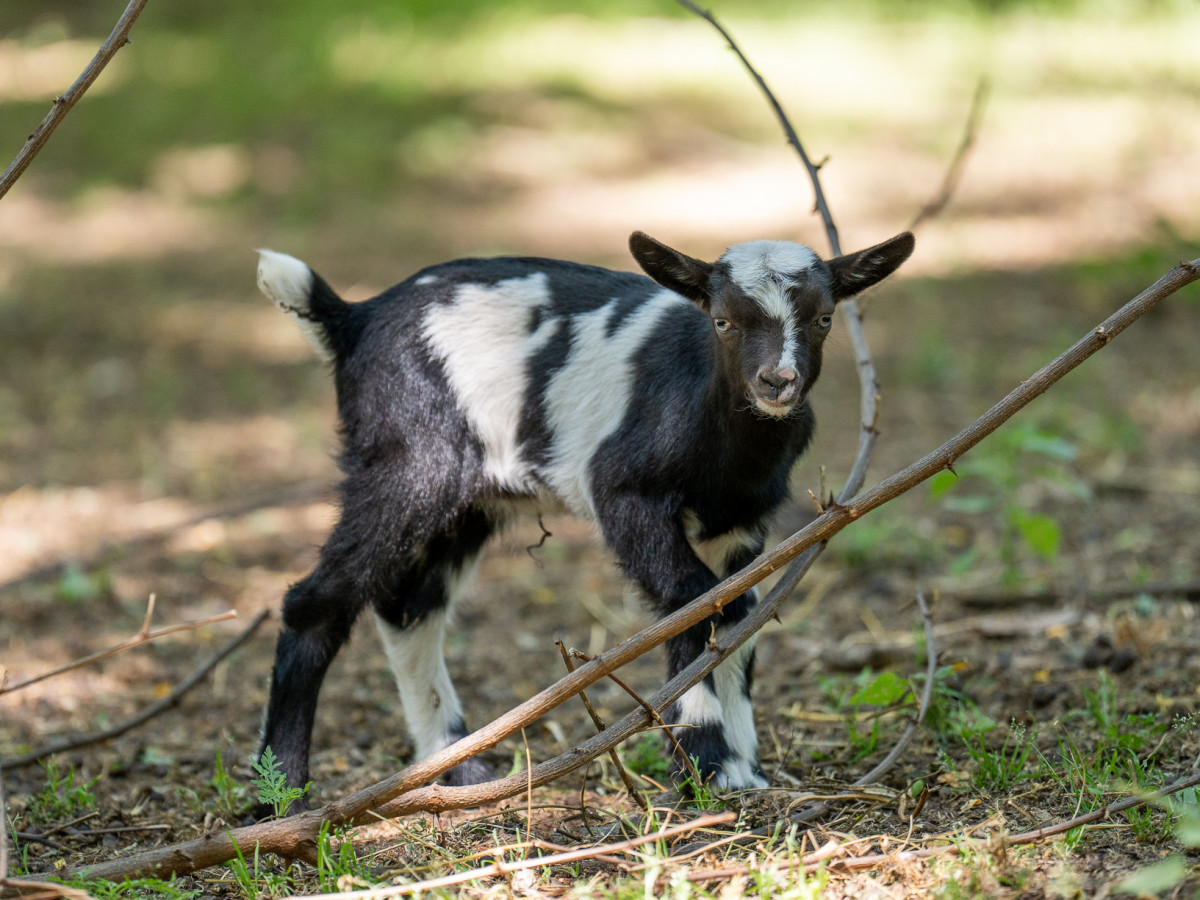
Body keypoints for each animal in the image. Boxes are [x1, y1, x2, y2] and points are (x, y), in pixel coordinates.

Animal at [253, 229, 907, 806]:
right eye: (722, 320)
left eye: (824, 318)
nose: (777, 381)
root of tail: (354, 319)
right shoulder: (622, 492)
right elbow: (691, 601)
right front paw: (702, 764)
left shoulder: (740, 522)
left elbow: (737, 612)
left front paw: (741, 768)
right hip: (407, 463)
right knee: (318, 602)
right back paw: (280, 793)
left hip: (469, 501)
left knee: (410, 608)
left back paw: (457, 767)